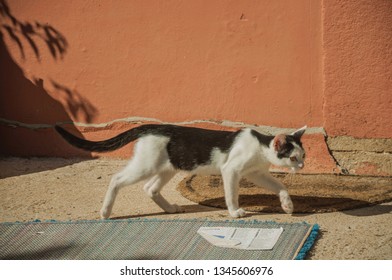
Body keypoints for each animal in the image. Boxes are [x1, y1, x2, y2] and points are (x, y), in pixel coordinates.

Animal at [55, 124, 306, 219]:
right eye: (293, 157)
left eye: (303, 155)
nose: (301, 166)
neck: (260, 148)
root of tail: (152, 126)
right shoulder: (231, 170)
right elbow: (231, 195)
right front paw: (234, 212)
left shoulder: (256, 174)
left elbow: (281, 186)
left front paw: (287, 205)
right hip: (146, 166)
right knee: (116, 179)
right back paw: (105, 211)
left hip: (167, 168)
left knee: (150, 188)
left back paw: (169, 209)